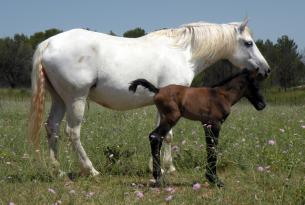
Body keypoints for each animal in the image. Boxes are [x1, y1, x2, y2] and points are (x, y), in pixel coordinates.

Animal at [128, 68, 264, 187]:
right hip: (171, 118)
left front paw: (211, 177)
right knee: (155, 136)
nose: (262, 105)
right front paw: (215, 179)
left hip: (164, 118)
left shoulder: (206, 124)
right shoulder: (215, 124)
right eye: (256, 85)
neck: (221, 95)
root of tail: (158, 89)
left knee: (157, 137)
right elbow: (213, 148)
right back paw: (159, 178)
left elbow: (209, 147)